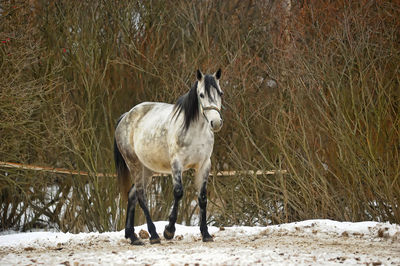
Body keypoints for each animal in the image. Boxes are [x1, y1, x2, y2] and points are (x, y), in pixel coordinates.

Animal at [114, 68, 223, 245]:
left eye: (220, 93)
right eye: (201, 95)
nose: (216, 122)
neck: (194, 130)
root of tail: (125, 117)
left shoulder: (204, 165)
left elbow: (202, 198)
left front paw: (206, 234)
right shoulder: (176, 164)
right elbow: (178, 193)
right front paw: (169, 230)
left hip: (147, 170)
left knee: (132, 195)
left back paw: (133, 236)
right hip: (134, 165)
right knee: (141, 196)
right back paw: (154, 235)